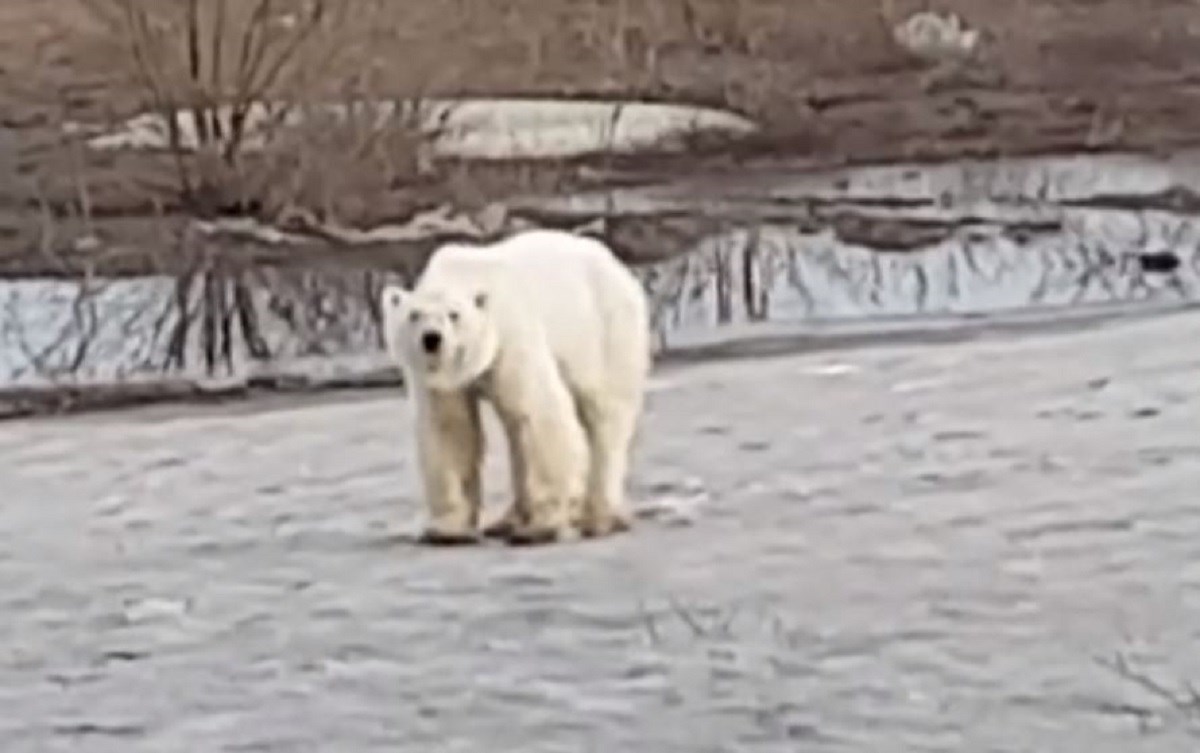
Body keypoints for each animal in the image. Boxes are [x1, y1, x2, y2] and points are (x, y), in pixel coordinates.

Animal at [379, 226, 652, 544]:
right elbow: (450, 428)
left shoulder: (512, 336)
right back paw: (507, 521)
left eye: (454, 315)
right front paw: (446, 530)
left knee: (606, 415)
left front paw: (542, 526)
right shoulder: (439, 381)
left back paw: (600, 519)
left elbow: (539, 414)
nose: (432, 339)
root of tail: (618, 266)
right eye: (414, 315)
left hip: (606, 331)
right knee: (516, 433)